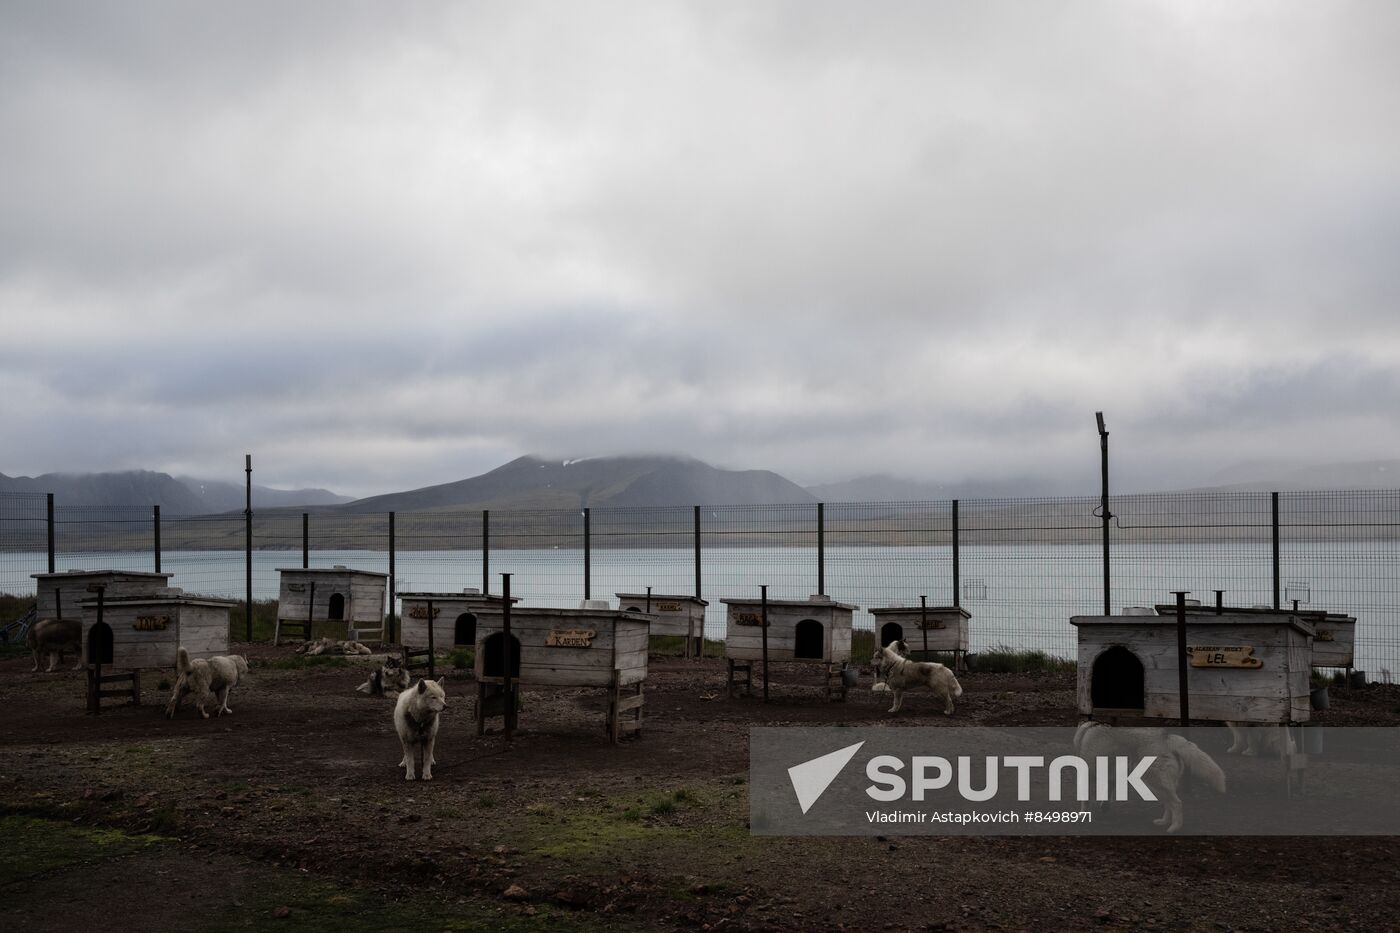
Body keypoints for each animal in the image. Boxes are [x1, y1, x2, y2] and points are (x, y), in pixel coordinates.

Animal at [1069, 717, 1226, 829]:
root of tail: (1166, 738)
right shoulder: (1112, 777)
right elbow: (1107, 795)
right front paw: (1104, 807)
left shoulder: (1088, 777)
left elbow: (1085, 800)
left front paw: (1083, 815)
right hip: (1157, 786)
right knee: (1169, 804)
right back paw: (1163, 822)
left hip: (1154, 783)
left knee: (1176, 803)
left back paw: (1174, 828)